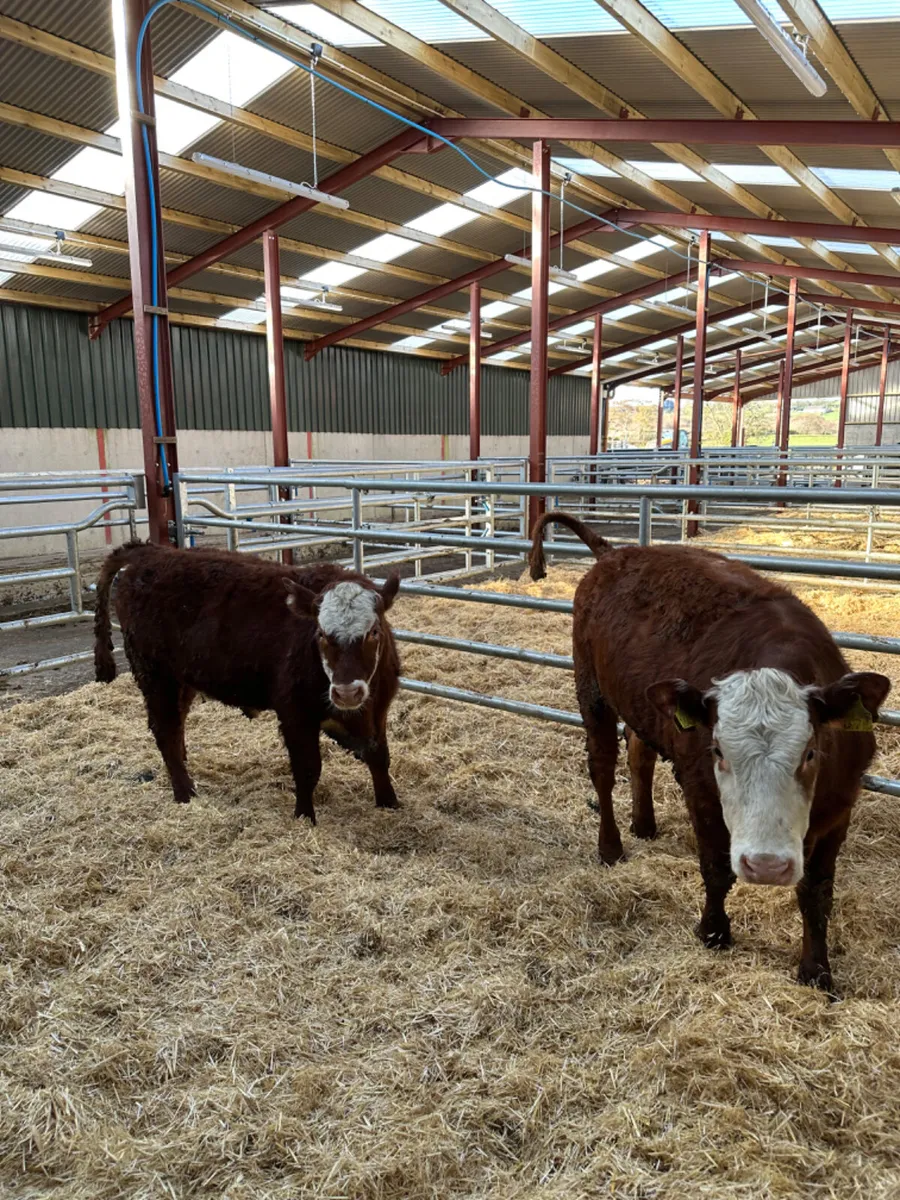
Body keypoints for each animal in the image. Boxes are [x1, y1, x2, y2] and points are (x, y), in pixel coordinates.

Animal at [93, 542, 402, 825]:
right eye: (321, 634)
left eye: (374, 631)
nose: (347, 692)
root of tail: (151, 551)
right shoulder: (294, 714)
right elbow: (307, 769)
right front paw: (304, 818)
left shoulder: (379, 710)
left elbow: (379, 755)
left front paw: (390, 803)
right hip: (154, 674)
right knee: (165, 730)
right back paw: (184, 792)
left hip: (182, 679)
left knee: (177, 724)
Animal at [529, 512, 891, 992]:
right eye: (718, 750)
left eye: (811, 753)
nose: (766, 865)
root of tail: (614, 553)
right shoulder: (700, 791)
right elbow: (716, 870)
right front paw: (714, 931)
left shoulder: (839, 809)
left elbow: (816, 891)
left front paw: (816, 970)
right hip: (592, 691)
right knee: (602, 769)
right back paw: (611, 847)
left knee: (639, 755)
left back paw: (644, 824)